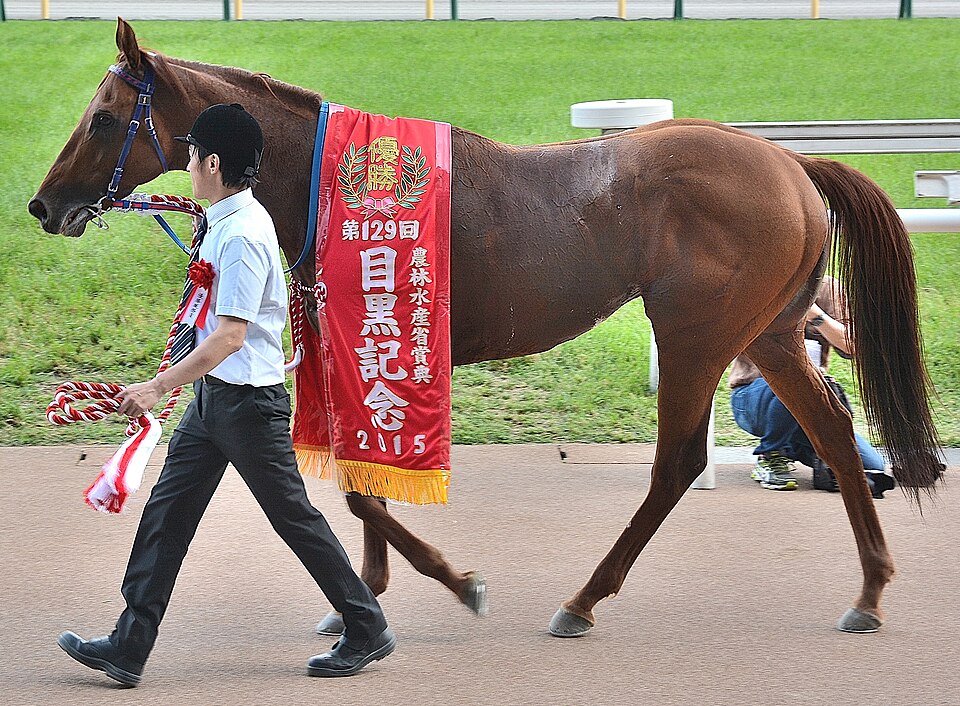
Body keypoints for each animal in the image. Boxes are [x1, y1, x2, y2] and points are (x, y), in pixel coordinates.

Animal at [30, 19, 943, 638]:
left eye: (104, 118)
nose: (43, 205)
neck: (332, 181)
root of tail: (790, 161)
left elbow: (360, 485)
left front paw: (448, 580)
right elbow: (361, 478)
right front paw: (365, 595)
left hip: (695, 333)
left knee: (680, 462)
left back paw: (583, 599)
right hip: (772, 332)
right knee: (832, 427)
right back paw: (868, 592)